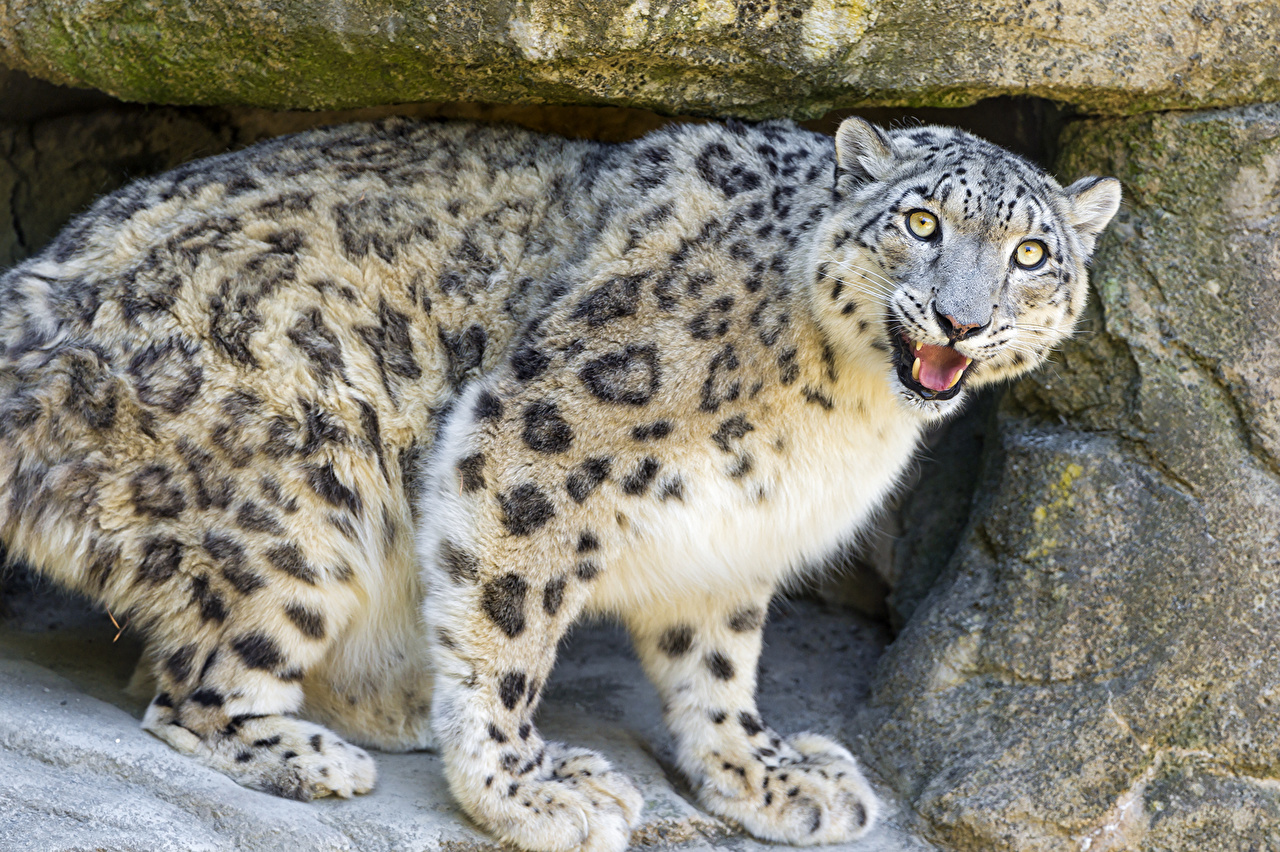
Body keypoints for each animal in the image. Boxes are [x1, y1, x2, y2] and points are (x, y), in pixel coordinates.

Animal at [0, 114, 1119, 851]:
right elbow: (510, 623)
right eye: (921, 223)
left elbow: (717, 664)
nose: (961, 320)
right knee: (189, 689)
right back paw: (321, 754)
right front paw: (520, 791)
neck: (843, 416)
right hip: (299, 488)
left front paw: (764, 774)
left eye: (1031, 253)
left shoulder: (736, 531)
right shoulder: (541, 443)